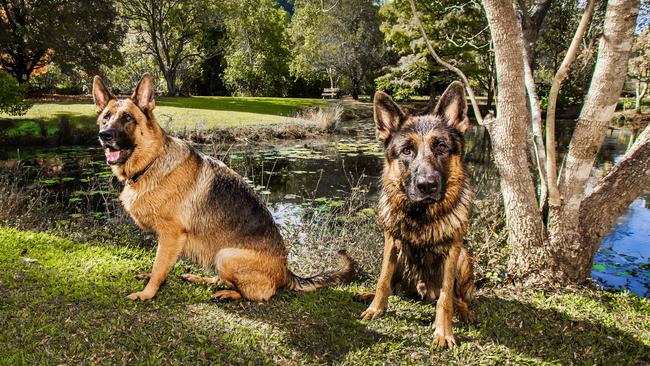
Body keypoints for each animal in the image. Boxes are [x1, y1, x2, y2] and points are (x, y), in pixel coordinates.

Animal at [92, 73, 354, 302]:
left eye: (127, 118)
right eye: (106, 117)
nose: (104, 135)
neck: (152, 161)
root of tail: (286, 271)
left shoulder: (170, 236)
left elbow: (159, 268)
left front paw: (147, 293)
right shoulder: (166, 241)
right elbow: (160, 265)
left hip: (225, 255)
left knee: (259, 294)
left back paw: (228, 294)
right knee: (222, 279)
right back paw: (202, 279)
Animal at [356, 81, 474, 348]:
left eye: (441, 146)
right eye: (407, 150)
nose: (427, 185)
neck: (422, 216)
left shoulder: (452, 251)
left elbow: (445, 298)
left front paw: (443, 332)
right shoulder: (391, 242)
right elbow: (383, 280)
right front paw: (375, 308)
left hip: (464, 257)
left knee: (458, 296)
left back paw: (464, 310)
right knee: (391, 285)